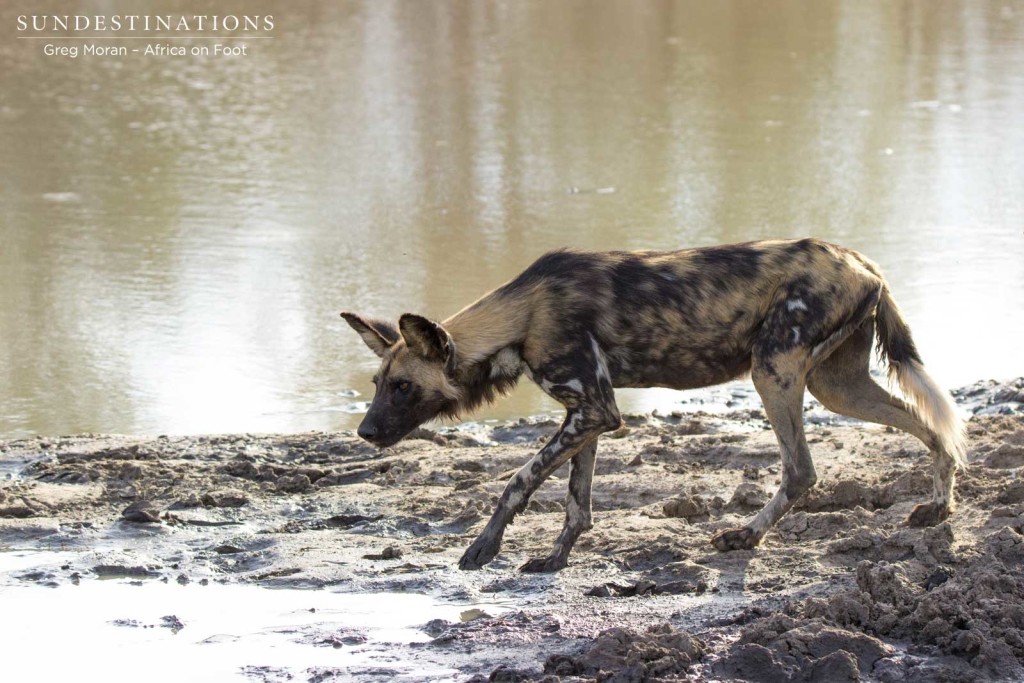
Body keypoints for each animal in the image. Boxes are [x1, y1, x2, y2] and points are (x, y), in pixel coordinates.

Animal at [339, 240, 962, 573]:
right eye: (376, 383)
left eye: (402, 387)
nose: (365, 432)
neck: (522, 316)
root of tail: (862, 261)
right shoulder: (586, 414)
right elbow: (576, 502)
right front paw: (555, 558)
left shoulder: (594, 412)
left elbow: (518, 480)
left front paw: (483, 546)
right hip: (838, 387)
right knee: (934, 427)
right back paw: (937, 508)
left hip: (773, 371)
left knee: (801, 470)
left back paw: (744, 537)